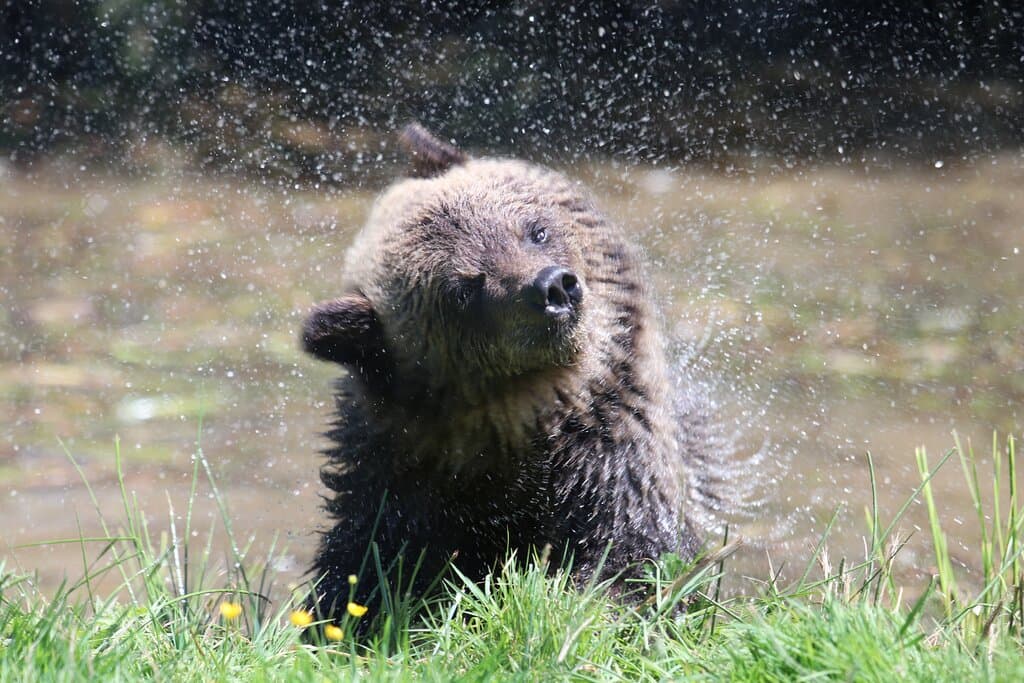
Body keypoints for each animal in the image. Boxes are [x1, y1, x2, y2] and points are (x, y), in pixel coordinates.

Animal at [300, 123, 714, 619]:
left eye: (535, 230)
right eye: (463, 289)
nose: (553, 287)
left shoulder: (613, 460)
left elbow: (634, 553)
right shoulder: (394, 492)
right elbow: (361, 577)